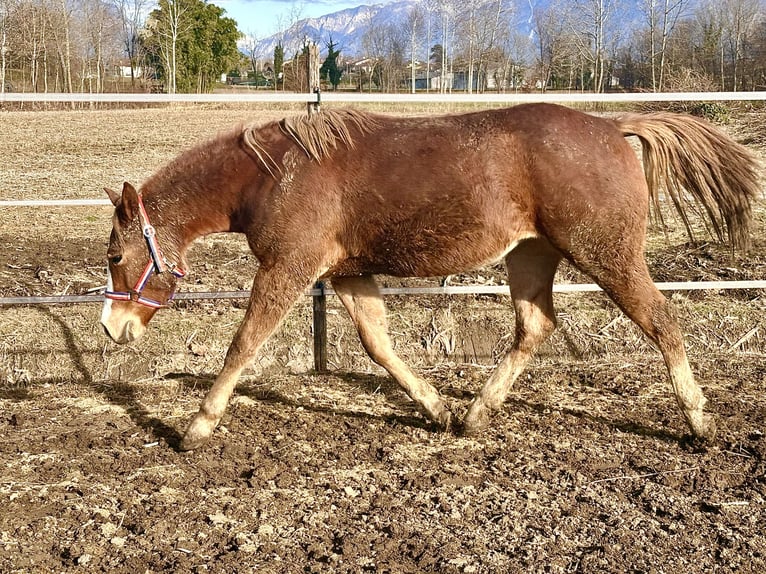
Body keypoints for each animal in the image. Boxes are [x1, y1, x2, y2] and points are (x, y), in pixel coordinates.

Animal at [102, 106, 760, 452]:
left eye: (114, 255)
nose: (113, 329)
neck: (275, 174)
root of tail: (612, 125)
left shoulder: (288, 268)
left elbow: (243, 344)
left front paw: (196, 427)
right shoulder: (349, 273)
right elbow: (378, 345)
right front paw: (436, 407)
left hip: (607, 255)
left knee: (662, 320)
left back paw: (700, 422)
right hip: (530, 255)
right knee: (535, 326)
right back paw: (474, 416)